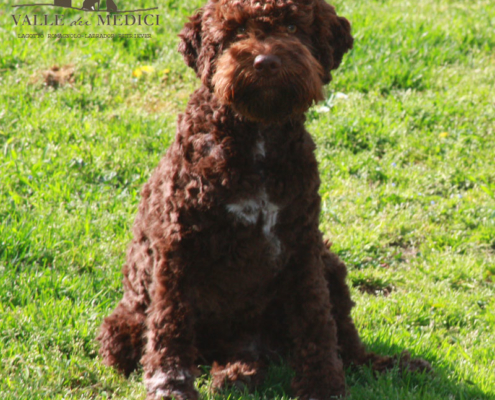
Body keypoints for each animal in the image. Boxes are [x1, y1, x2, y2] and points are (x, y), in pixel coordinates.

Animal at [97, 1, 430, 398]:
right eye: (237, 30)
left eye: (293, 26)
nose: (266, 62)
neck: (256, 136)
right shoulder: (178, 248)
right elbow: (170, 326)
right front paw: (171, 388)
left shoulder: (302, 246)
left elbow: (317, 321)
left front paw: (323, 385)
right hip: (123, 328)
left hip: (329, 263)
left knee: (347, 342)